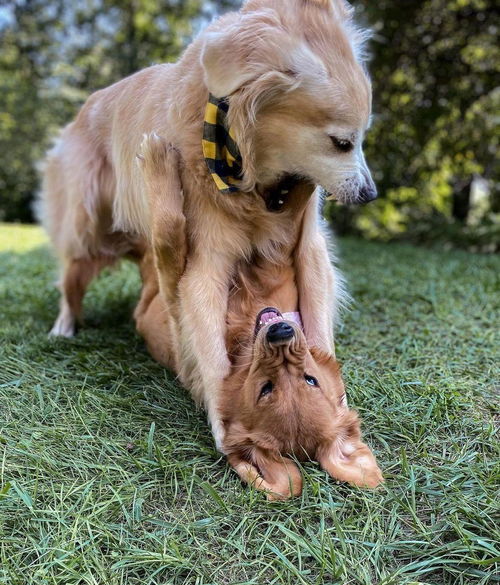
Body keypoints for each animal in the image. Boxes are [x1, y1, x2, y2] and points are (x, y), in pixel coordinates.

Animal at [41, 1, 376, 448]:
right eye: (342, 143)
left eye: (361, 139)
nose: (371, 194)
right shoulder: (206, 266)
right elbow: (210, 349)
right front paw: (223, 418)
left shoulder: (309, 246)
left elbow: (318, 321)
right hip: (84, 222)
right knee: (72, 275)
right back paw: (65, 324)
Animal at [135, 135, 380, 500]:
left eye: (309, 380)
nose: (281, 333)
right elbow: (287, 222)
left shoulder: (179, 303)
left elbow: (169, 237)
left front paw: (157, 162)